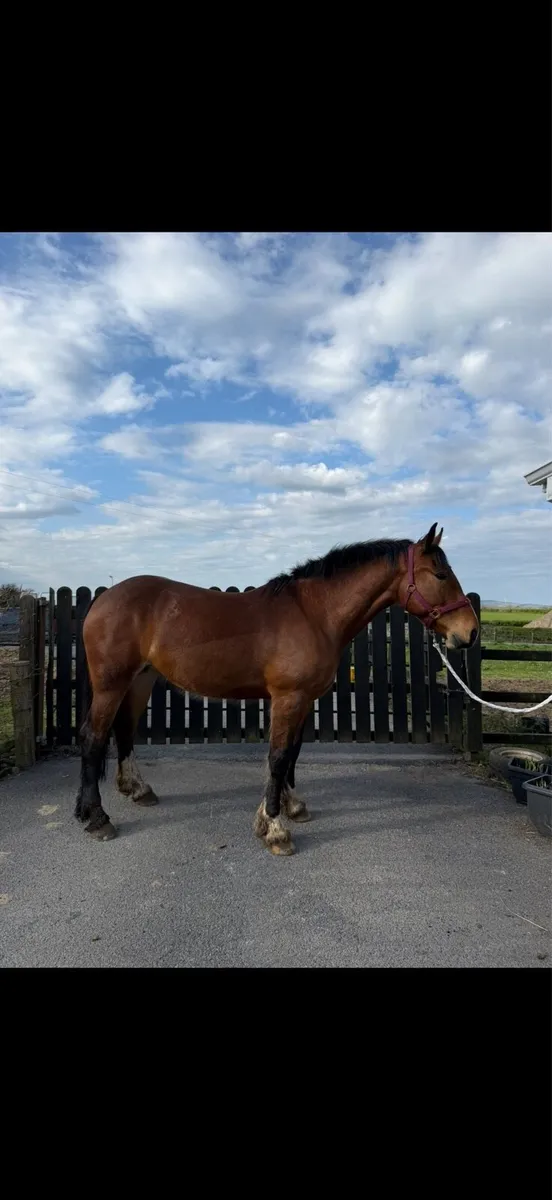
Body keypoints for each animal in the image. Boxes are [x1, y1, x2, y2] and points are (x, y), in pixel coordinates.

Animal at [75, 522, 478, 855]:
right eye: (441, 574)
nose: (470, 633)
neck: (314, 614)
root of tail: (103, 598)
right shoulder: (288, 698)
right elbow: (279, 756)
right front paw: (274, 829)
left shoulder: (302, 701)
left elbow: (293, 754)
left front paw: (292, 806)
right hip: (111, 684)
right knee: (94, 738)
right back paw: (96, 819)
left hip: (140, 679)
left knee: (123, 731)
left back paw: (137, 789)